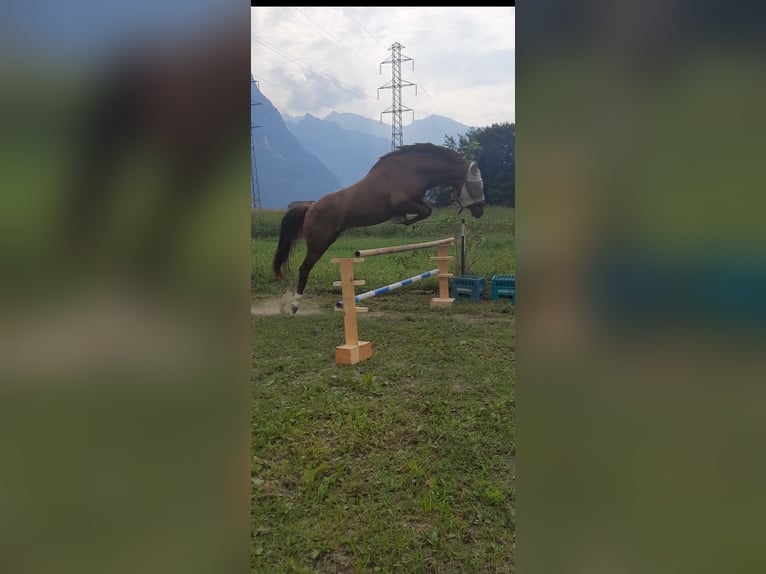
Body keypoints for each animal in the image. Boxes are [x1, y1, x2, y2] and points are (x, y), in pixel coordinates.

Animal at [272, 143, 484, 316]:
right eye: (476, 184)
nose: (481, 210)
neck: (414, 169)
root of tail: (310, 208)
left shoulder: (415, 200)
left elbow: (427, 209)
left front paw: (404, 219)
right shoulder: (401, 202)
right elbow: (425, 210)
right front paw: (402, 220)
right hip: (319, 243)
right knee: (304, 268)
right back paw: (293, 306)